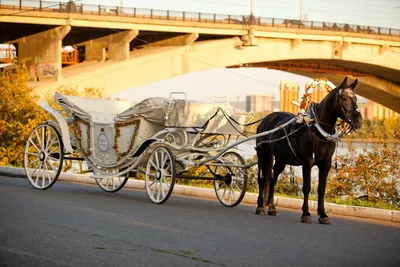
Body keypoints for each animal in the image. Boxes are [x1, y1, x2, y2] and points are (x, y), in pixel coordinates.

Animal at [256, 77, 362, 224]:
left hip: (281, 160)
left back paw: (271, 207)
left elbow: (321, 189)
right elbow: (306, 187)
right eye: (344, 97)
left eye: (356, 98)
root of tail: (265, 119)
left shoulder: (326, 164)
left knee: (272, 178)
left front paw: (323, 214)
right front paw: (306, 213)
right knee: (261, 179)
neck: (317, 130)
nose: (358, 121)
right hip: (263, 154)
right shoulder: (307, 162)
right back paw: (260, 206)